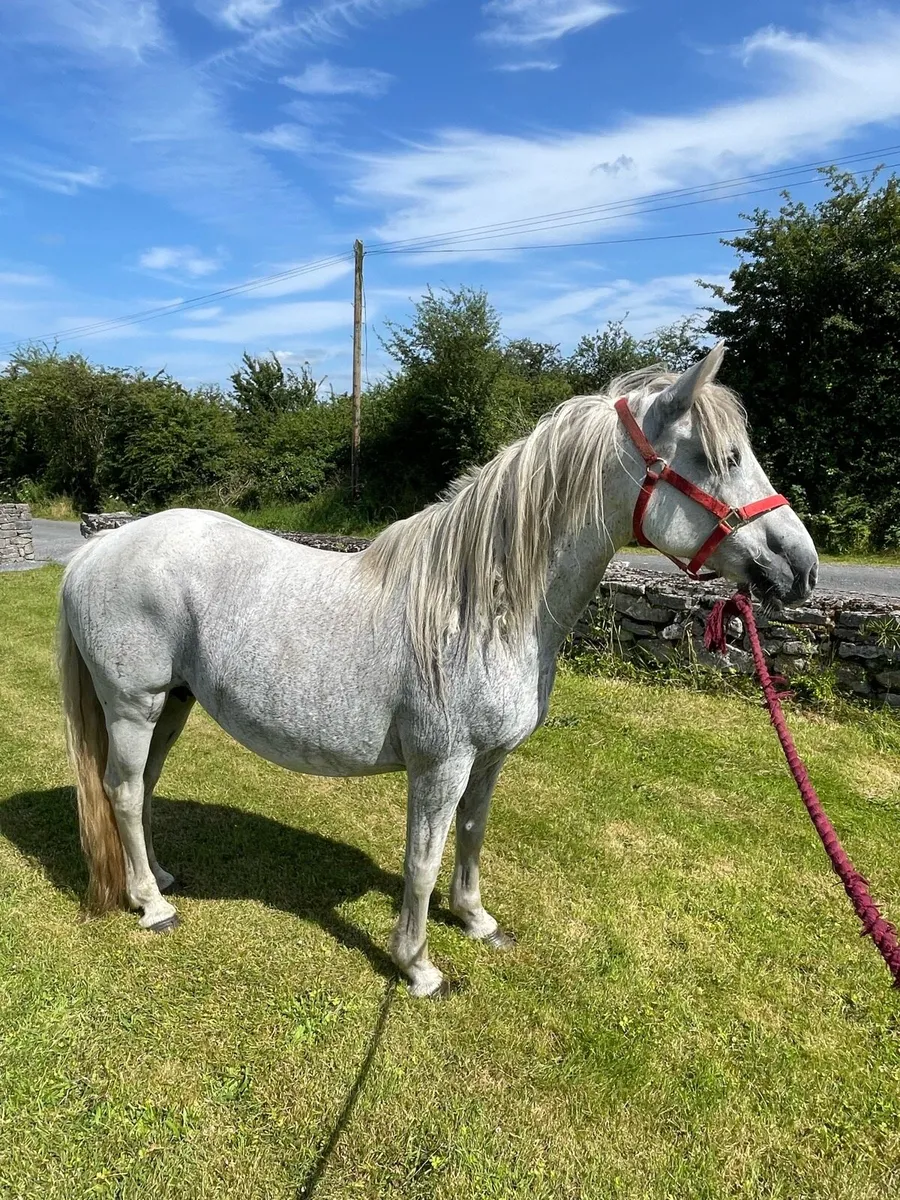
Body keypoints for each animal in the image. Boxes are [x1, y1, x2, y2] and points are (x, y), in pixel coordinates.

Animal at [58, 344, 818, 997]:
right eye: (721, 457)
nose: (800, 567)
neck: (480, 609)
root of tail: (95, 552)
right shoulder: (440, 763)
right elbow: (421, 862)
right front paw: (417, 965)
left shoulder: (489, 759)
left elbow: (473, 834)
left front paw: (477, 921)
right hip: (133, 705)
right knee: (122, 789)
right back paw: (151, 906)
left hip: (174, 702)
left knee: (143, 788)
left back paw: (157, 877)